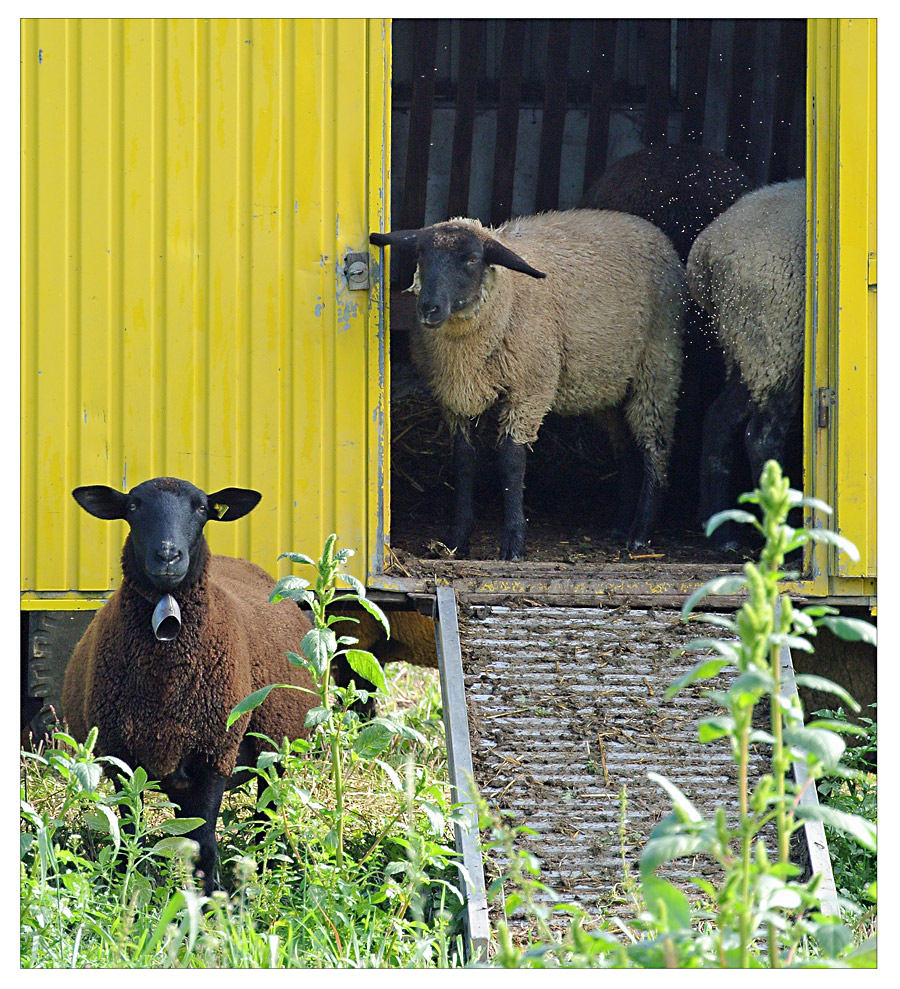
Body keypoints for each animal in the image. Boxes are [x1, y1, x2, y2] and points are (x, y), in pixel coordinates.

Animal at [63, 478, 316, 896]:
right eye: (133, 506)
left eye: (201, 508)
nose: (168, 555)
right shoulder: (122, 758)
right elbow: (129, 832)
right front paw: (128, 887)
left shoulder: (214, 754)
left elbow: (206, 845)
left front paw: (211, 900)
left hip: (276, 752)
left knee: (266, 813)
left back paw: (260, 870)